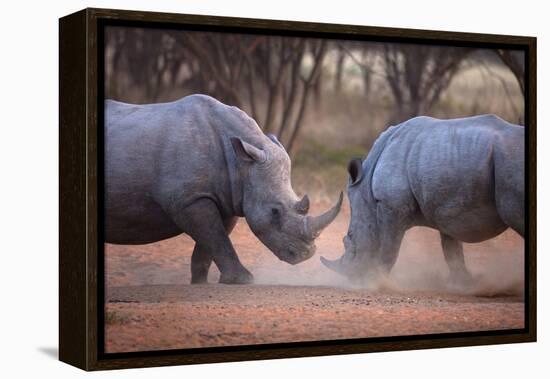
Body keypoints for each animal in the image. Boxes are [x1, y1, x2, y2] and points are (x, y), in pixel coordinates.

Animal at [105, 95, 342, 284]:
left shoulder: (227, 197)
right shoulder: (188, 199)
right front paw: (243, 280)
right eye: (274, 212)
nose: (306, 255)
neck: (241, 165)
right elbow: (216, 237)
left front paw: (201, 282)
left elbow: (211, 242)